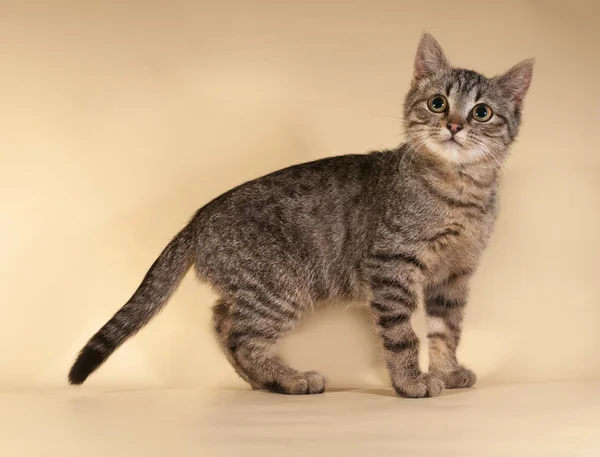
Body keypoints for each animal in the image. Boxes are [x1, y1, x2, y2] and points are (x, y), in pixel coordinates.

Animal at [68, 33, 532, 396]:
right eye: (438, 103)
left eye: (482, 112)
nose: (454, 125)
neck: (461, 193)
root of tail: (197, 218)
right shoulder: (392, 265)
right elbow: (402, 333)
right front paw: (410, 382)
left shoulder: (453, 275)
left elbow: (446, 330)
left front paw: (447, 372)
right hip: (280, 287)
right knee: (239, 335)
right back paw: (288, 379)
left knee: (221, 321)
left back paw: (265, 381)